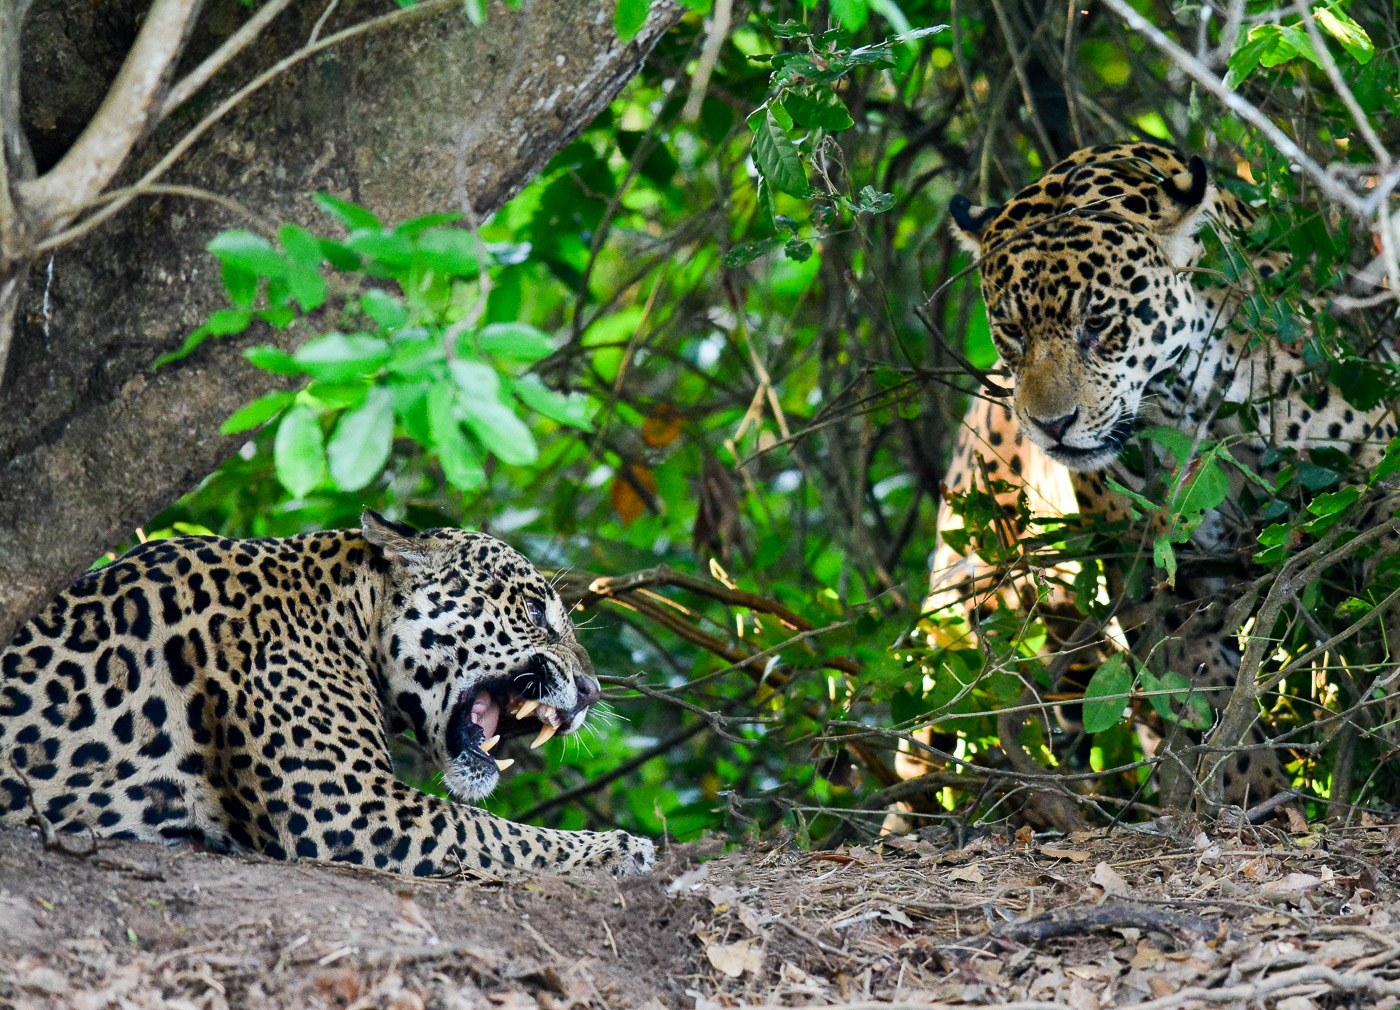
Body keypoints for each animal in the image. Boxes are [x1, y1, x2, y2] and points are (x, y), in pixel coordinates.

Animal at [0, 510, 655, 879]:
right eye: (533, 611)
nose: (593, 691)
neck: (345, 615)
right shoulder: (354, 806)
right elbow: (493, 830)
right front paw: (621, 847)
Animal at [927, 141, 1400, 815]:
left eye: (1099, 323)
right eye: (1012, 330)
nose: (1051, 425)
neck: (1200, 394)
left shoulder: (1372, 470)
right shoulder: (1165, 569)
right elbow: (1206, 689)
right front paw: (1253, 795)